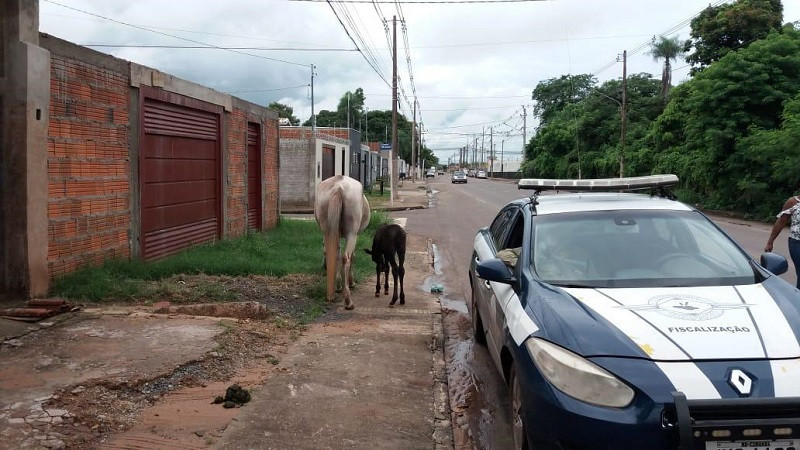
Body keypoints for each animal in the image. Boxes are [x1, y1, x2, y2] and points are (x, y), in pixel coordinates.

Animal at [316, 175, 372, 310]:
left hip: (327, 230)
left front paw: (338, 284)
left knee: (335, 254)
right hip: (351, 234)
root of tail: (338, 187)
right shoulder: (354, 235)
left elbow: (335, 254)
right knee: (346, 258)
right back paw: (348, 300)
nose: (323, 266)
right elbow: (352, 256)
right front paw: (351, 282)